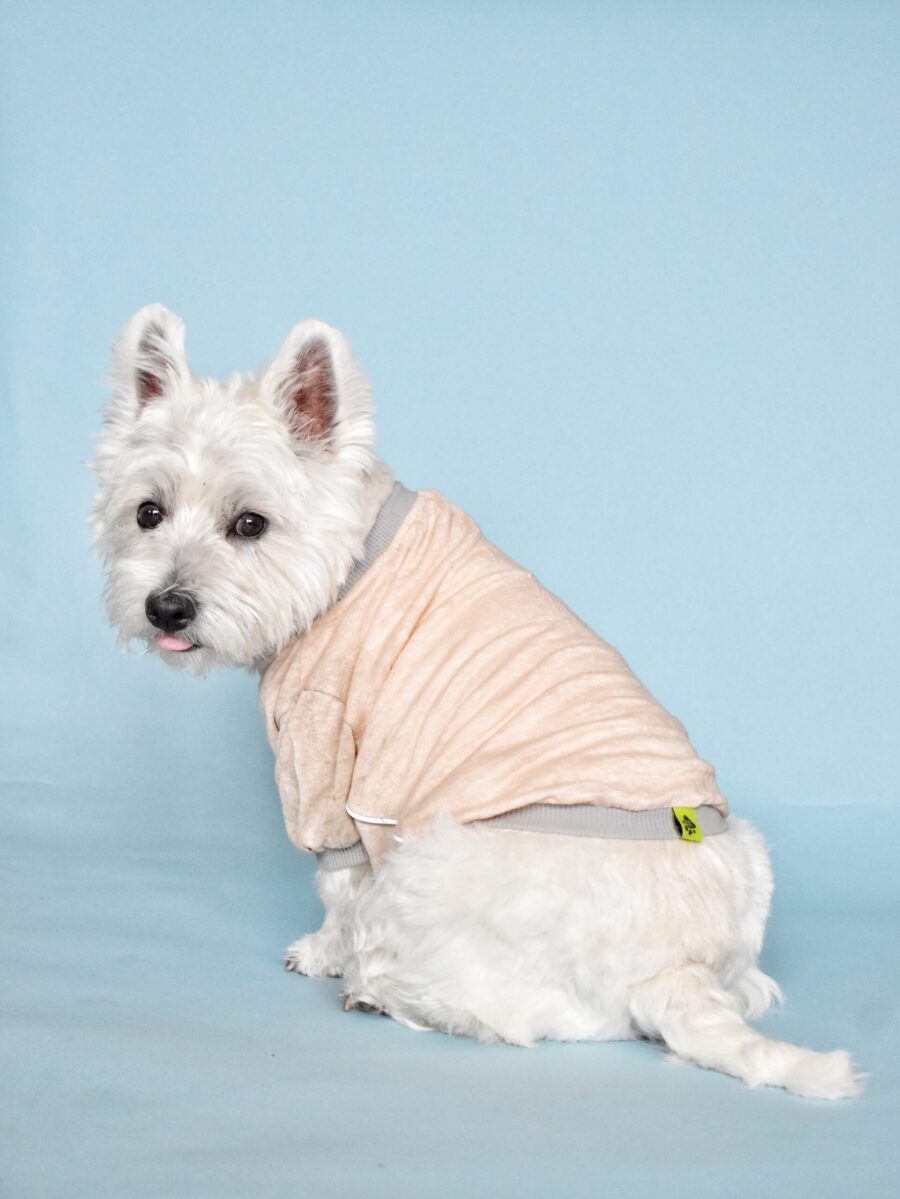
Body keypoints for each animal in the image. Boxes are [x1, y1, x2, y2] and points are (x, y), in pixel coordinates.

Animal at [93, 304, 867, 1098]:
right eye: (148, 512)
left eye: (250, 523)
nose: (166, 607)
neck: (340, 569)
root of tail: (678, 967)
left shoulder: (324, 759)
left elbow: (337, 884)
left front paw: (323, 953)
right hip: (749, 861)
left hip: (433, 858)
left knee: (511, 1016)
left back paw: (377, 987)